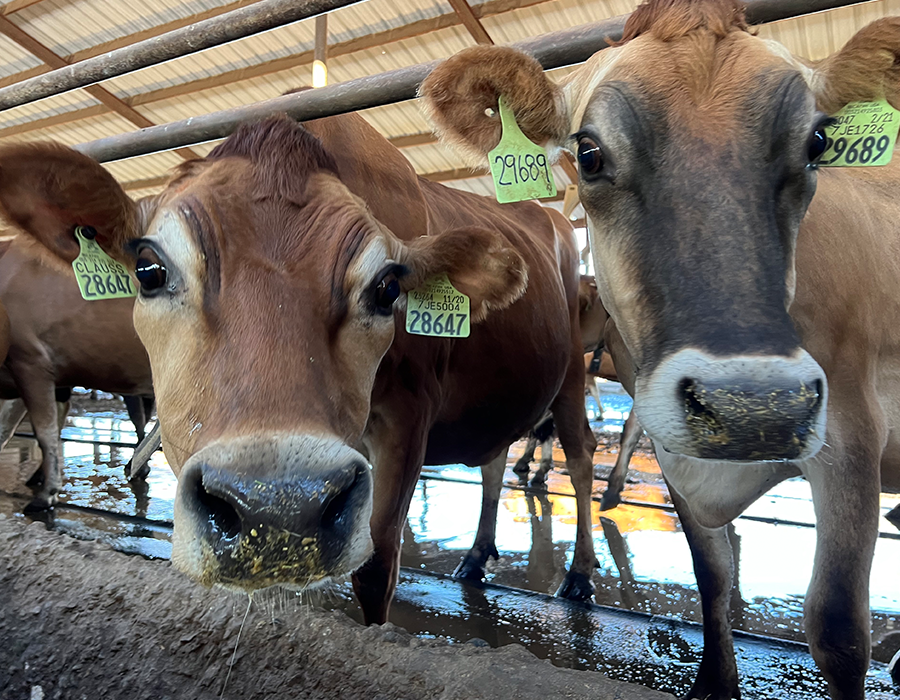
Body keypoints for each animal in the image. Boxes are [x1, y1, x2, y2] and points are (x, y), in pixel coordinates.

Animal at [419, 2, 900, 698]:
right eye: (588, 153)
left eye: (817, 143)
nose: (754, 410)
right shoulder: (678, 445)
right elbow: (713, 578)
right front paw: (714, 681)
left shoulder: (854, 432)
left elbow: (837, 629)